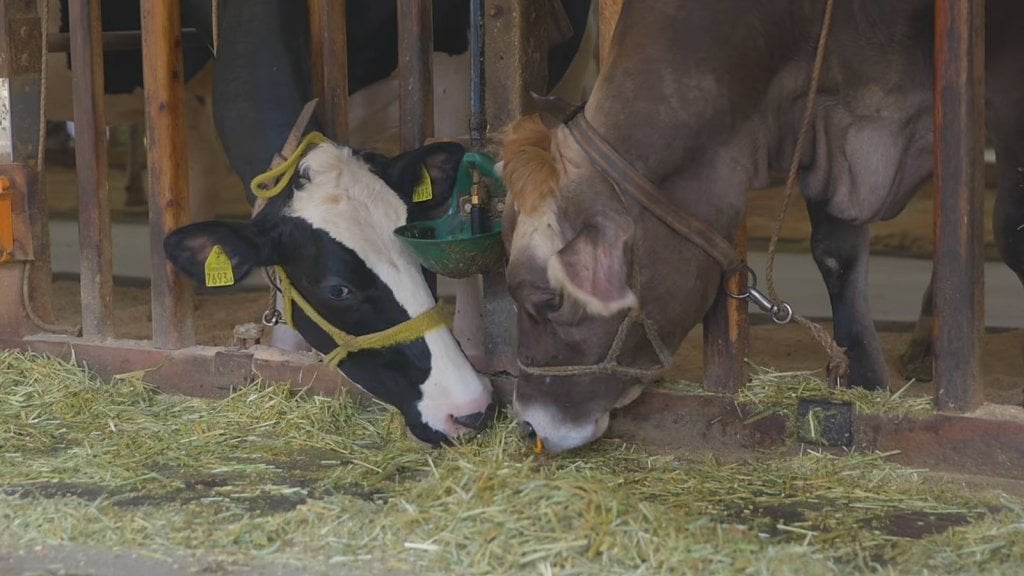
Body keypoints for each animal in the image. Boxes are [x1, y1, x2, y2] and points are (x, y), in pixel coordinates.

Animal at [500, 0, 1024, 452]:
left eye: (547, 301)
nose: (528, 423)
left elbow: (1009, 230)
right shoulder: (821, 128)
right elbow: (834, 252)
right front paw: (864, 378)